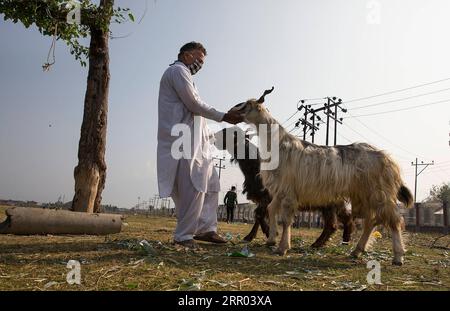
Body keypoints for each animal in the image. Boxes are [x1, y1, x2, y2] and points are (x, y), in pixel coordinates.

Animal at [215, 127, 356, 249]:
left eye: (227, 132)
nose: (214, 138)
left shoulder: (267, 195)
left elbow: (260, 214)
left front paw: (269, 233)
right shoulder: (262, 196)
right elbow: (258, 215)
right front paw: (252, 236)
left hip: (328, 201)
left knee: (332, 223)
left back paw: (319, 243)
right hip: (333, 202)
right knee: (344, 218)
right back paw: (343, 240)